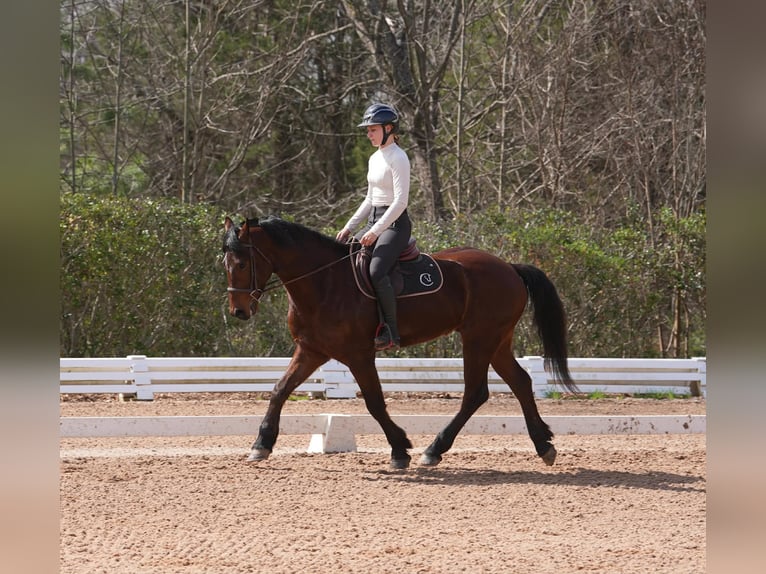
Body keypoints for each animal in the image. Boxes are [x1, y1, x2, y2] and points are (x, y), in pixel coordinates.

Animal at [222, 215, 578, 469]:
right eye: (225, 264)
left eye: (242, 263)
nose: (239, 311)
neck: (324, 282)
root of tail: (509, 268)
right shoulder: (311, 351)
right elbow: (279, 390)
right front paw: (261, 445)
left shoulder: (359, 355)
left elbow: (375, 402)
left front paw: (400, 449)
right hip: (497, 340)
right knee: (520, 382)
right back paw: (543, 445)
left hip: (479, 339)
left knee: (475, 393)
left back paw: (434, 450)